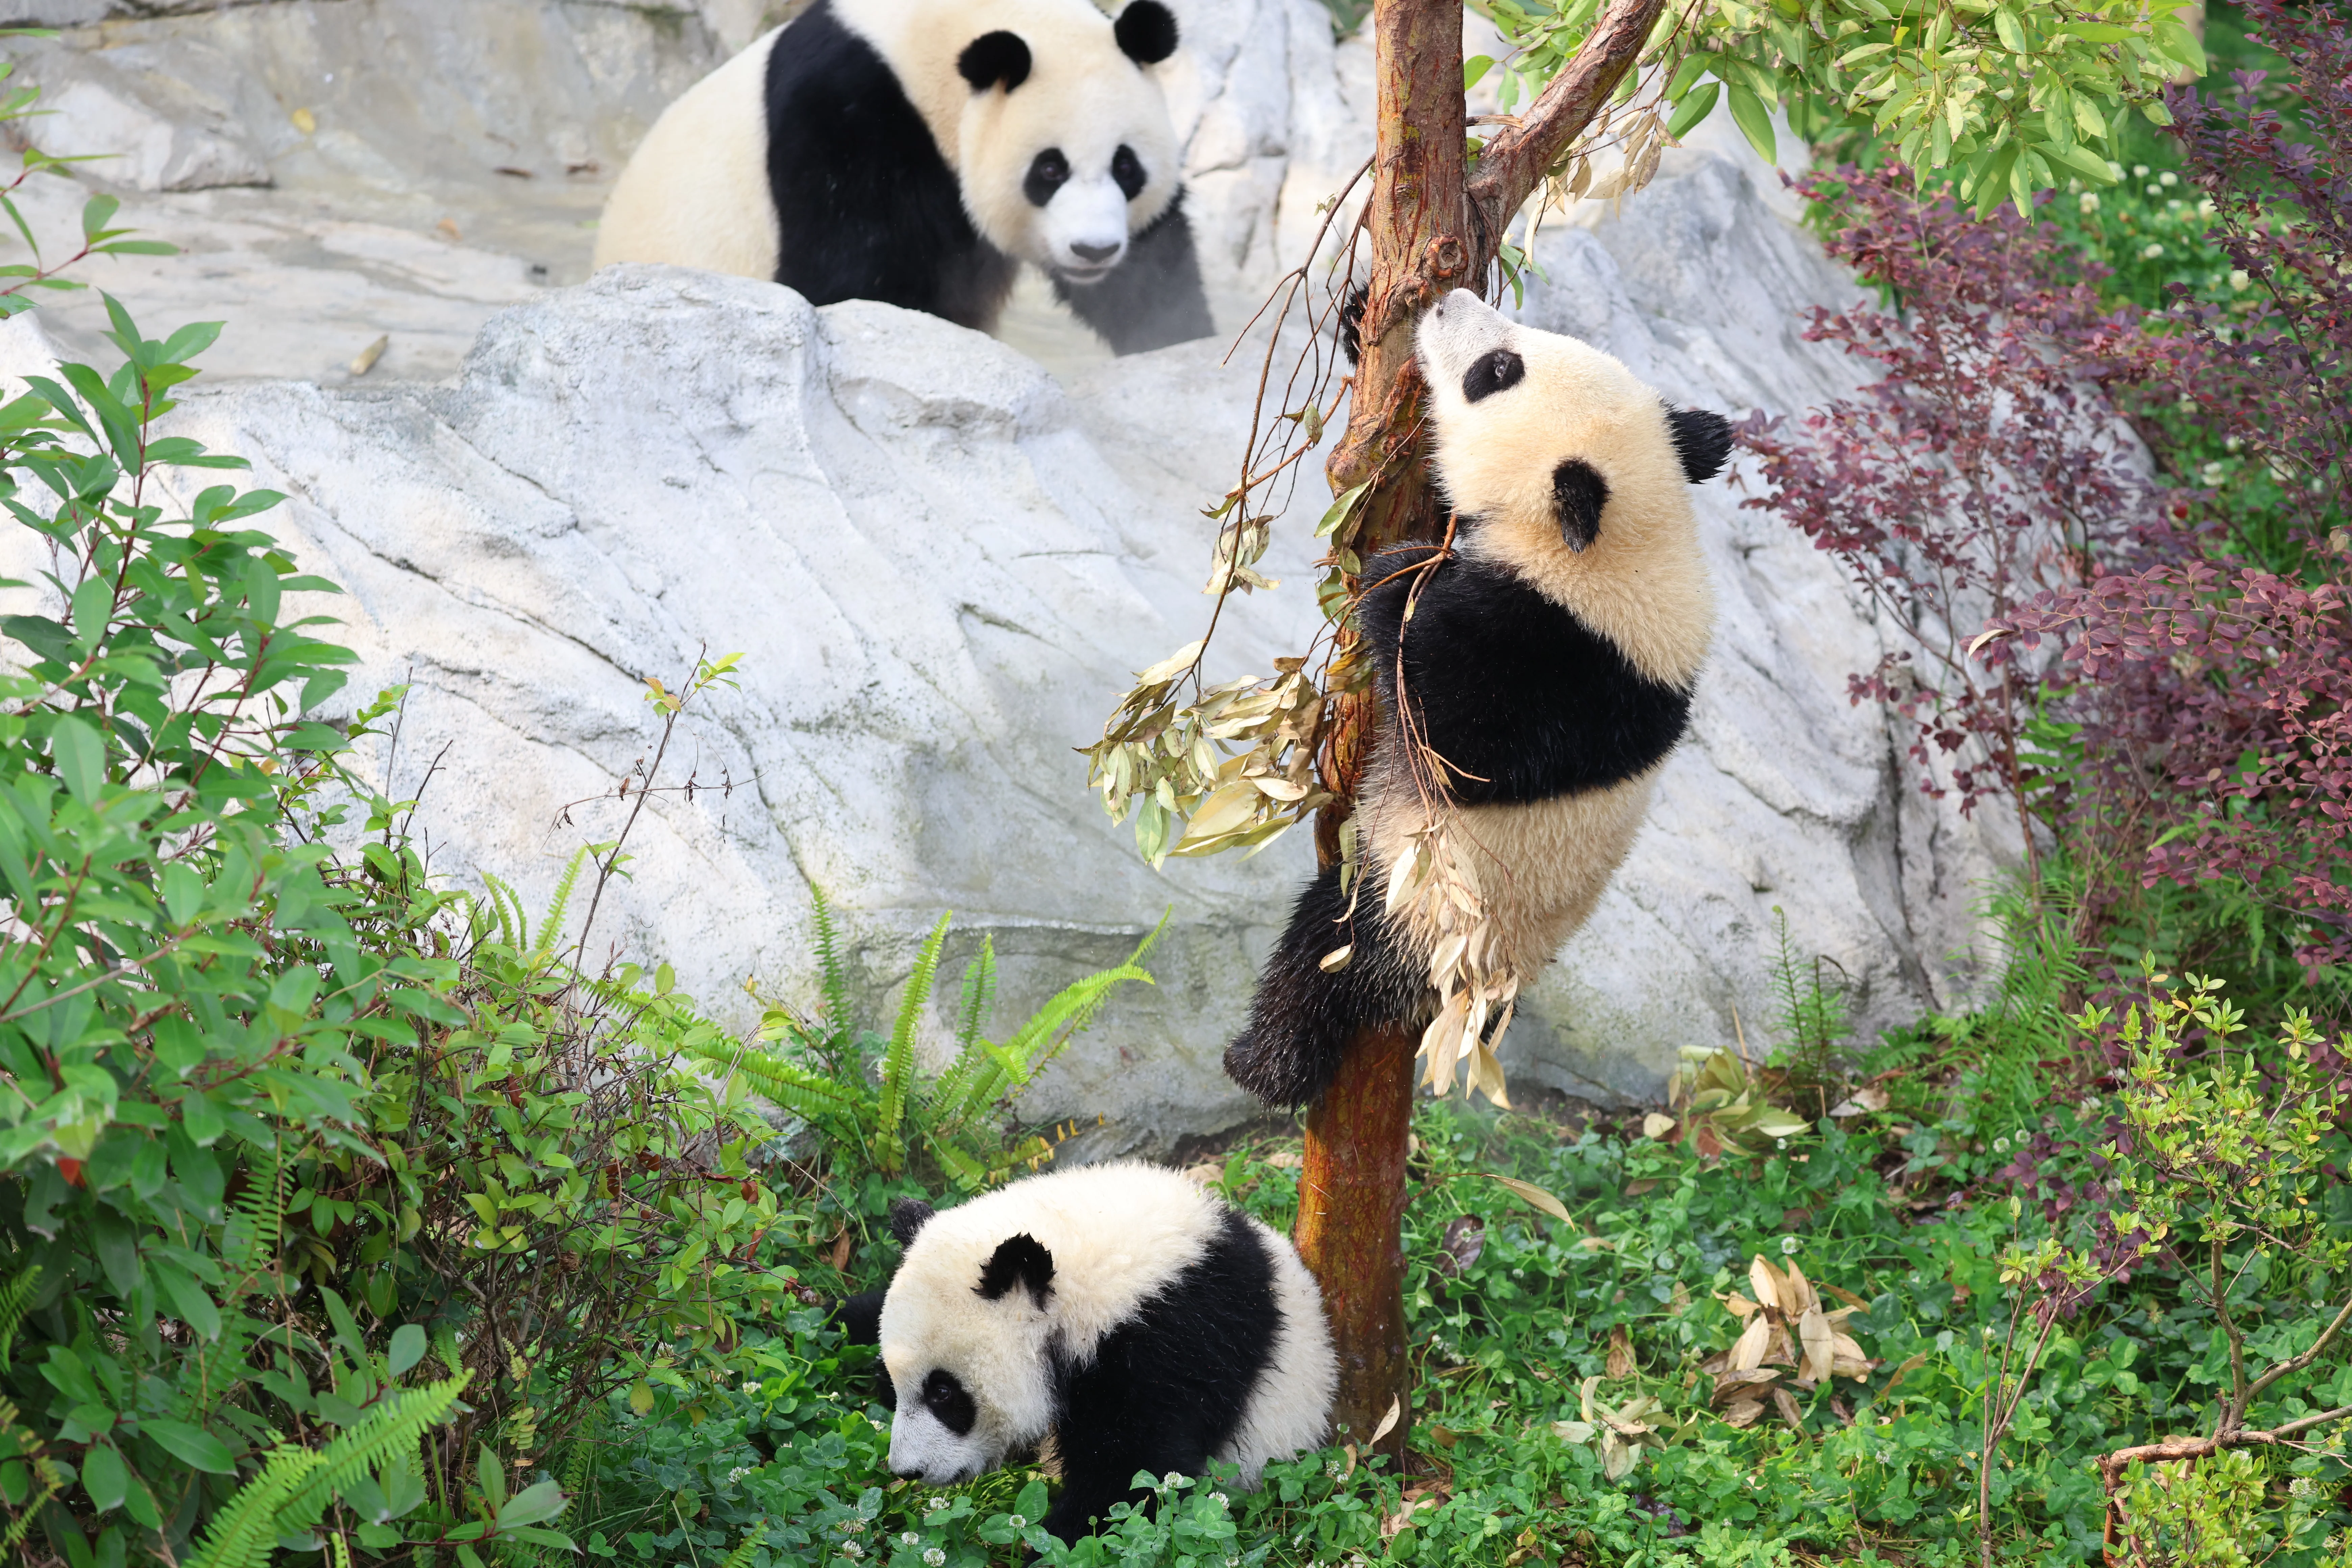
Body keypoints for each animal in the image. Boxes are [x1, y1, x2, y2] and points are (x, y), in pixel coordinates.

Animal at [591, 0, 1213, 356]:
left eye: (1126, 166)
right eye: (1049, 169)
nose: (1094, 250)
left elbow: (1150, 272)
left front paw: (1176, 336)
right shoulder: (848, 118)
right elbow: (850, 278)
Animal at [836, 1162, 1335, 1544]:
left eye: (943, 1393)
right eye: (895, 1385)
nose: (908, 1470)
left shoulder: (1172, 1344)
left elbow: (1134, 1474)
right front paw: (842, 1314)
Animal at [1223, 288, 1732, 1109]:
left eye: (1499, 370)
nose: (1448, 302)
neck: (1624, 545)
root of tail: (1482, 989)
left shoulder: (1570, 657)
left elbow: (1461, 737)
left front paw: (1395, 580)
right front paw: (1358, 316)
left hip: (1423, 898)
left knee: (1329, 950)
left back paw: (1265, 1063)